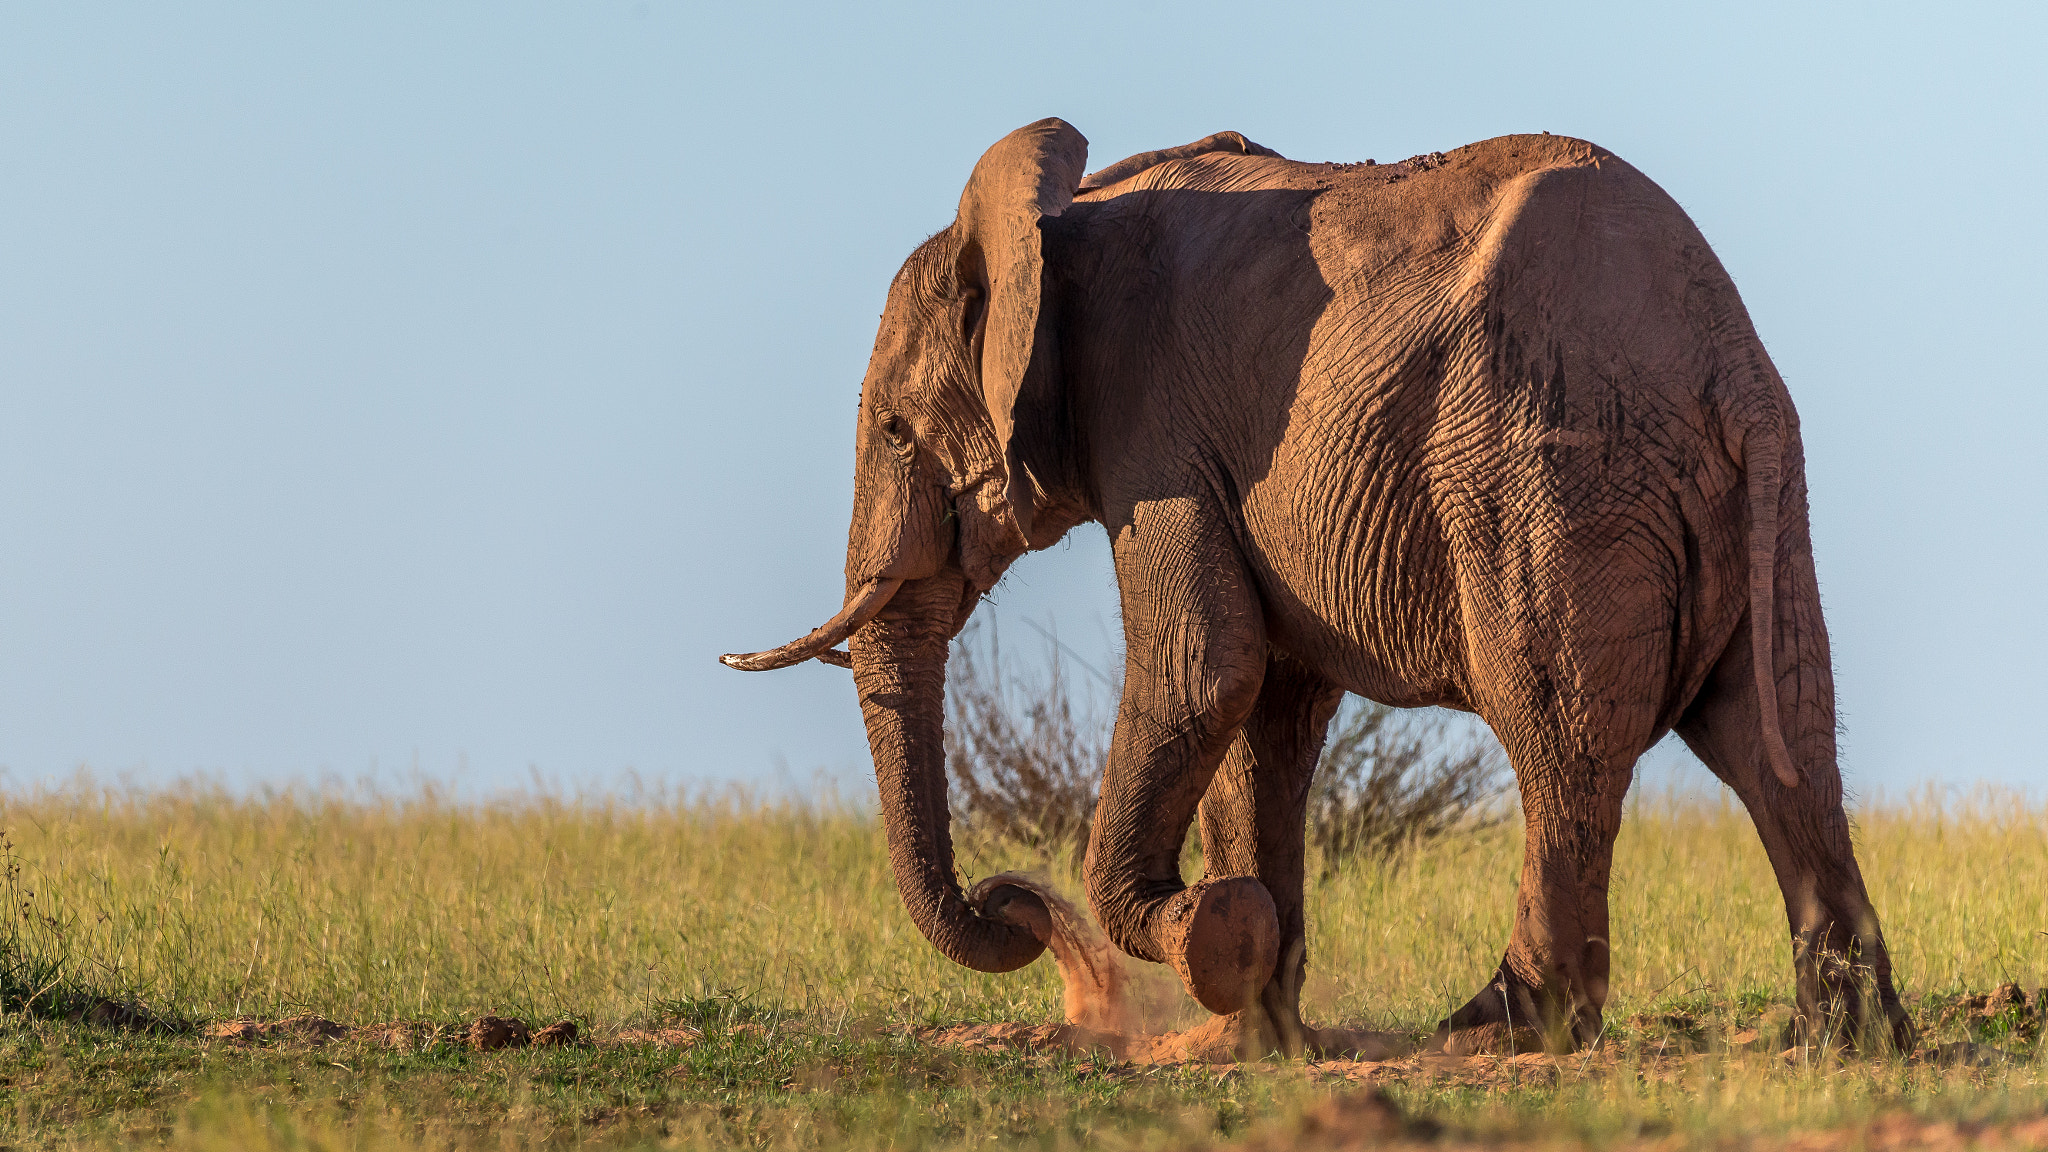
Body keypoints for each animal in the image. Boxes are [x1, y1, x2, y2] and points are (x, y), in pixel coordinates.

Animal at [723, 118, 1912, 1056]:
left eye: (891, 428)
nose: (1010, 906)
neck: (1059, 219)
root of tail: (1723, 363)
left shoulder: (1157, 433)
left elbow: (1206, 670)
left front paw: (1214, 939)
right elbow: (1266, 715)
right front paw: (1248, 1036)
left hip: (1551, 470)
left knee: (1561, 738)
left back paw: (1501, 1028)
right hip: (1746, 499)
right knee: (1778, 734)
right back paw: (1845, 1039)